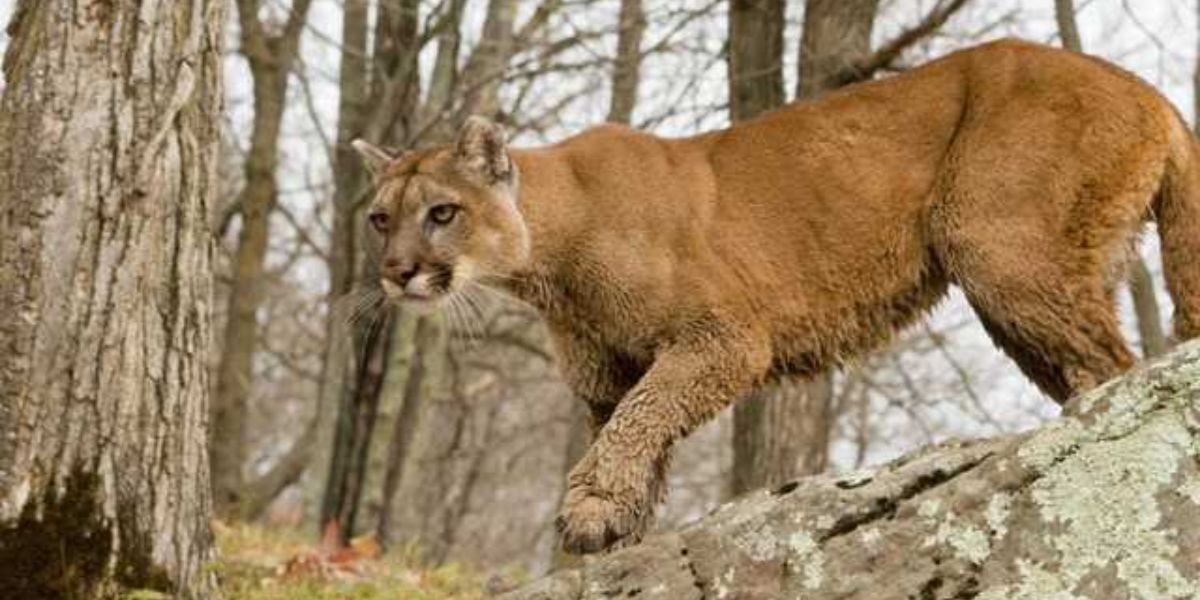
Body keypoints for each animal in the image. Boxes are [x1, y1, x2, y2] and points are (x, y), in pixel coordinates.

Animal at [350, 38, 1195, 552]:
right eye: (380, 217)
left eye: (442, 213)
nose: (397, 271)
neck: (551, 261)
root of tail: (1147, 90)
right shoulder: (604, 377)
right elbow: (632, 433)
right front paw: (619, 531)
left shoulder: (724, 337)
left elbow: (640, 418)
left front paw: (588, 511)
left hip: (998, 246)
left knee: (1113, 368)